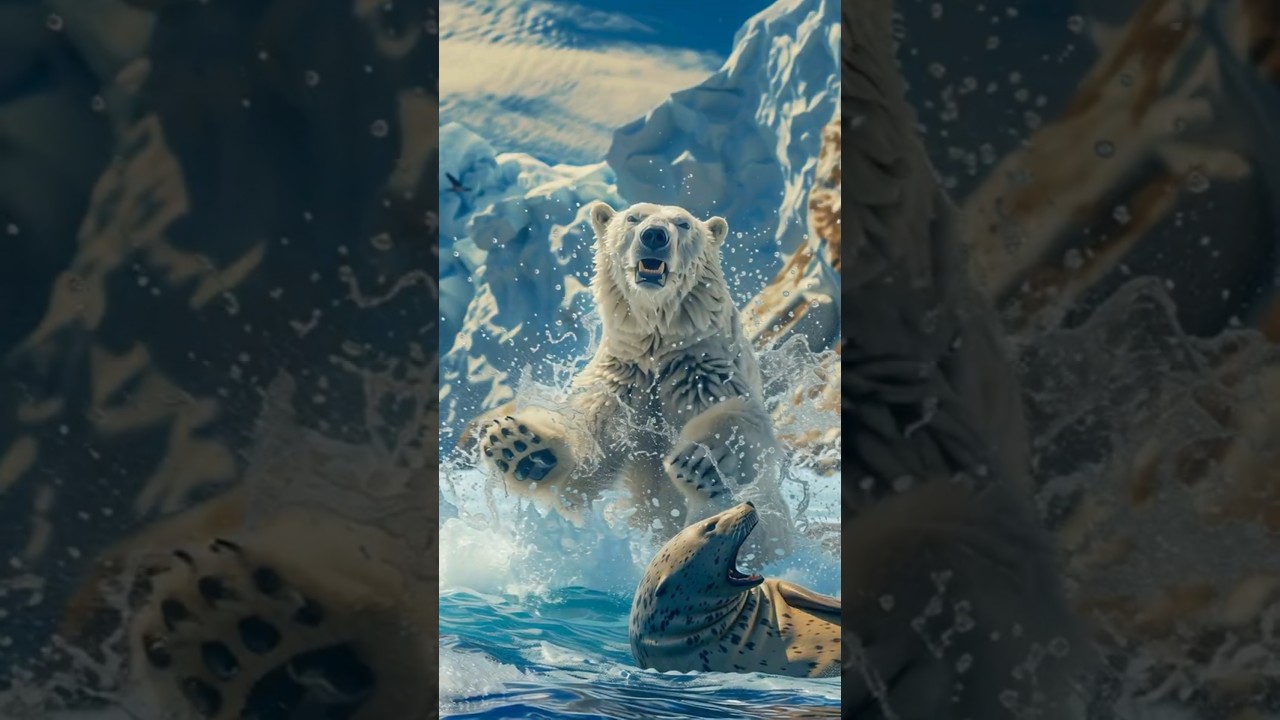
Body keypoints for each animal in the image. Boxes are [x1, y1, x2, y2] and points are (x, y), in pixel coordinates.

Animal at [478, 201, 793, 555]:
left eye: (683, 223)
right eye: (633, 217)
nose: (654, 235)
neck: (659, 350)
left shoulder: (704, 372)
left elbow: (742, 420)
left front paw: (704, 459)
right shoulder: (620, 383)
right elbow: (585, 469)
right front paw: (521, 448)